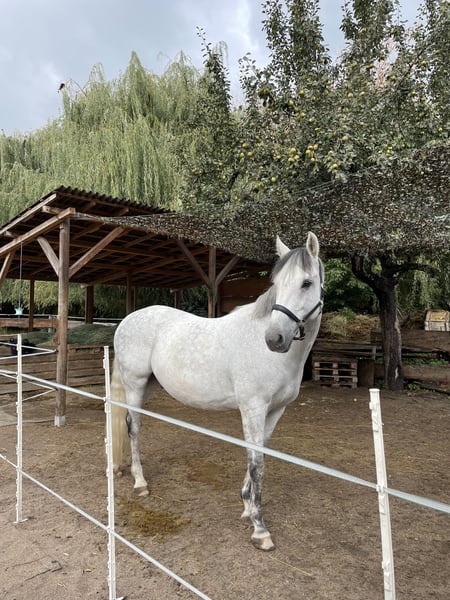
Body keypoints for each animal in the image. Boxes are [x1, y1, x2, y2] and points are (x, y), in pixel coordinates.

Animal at [111, 232, 324, 551]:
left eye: (306, 283)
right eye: (277, 283)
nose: (274, 339)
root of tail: (126, 320)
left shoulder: (275, 410)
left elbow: (260, 454)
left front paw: (247, 507)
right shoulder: (253, 408)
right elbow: (256, 462)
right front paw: (260, 529)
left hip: (148, 385)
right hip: (134, 384)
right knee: (133, 427)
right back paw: (140, 482)